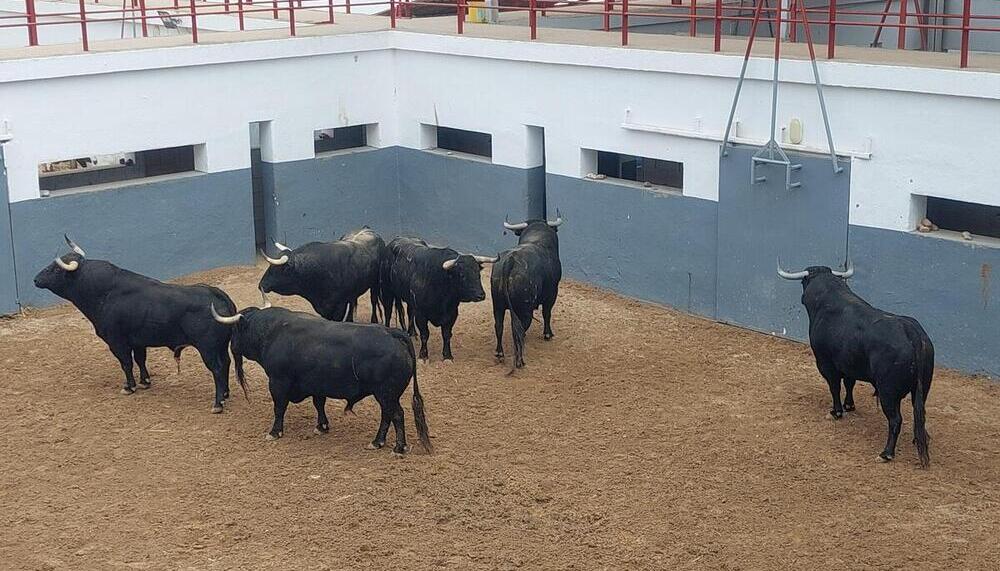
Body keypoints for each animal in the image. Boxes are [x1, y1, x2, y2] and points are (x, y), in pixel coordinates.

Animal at [35, 235, 248, 414]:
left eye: (55, 269)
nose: (36, 279)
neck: (103, 292)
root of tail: (215, 293)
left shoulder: (117, 341)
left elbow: (126, 363)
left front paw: (129, 387)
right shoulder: (137, 341)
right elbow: (140, 360)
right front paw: (145, 382)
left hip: (208, 349)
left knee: (217, 369)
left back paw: (218, 404)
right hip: (220, 346)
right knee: (226, 364)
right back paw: (226, 394)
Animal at [211, 304, 430, 456]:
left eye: (235, 330)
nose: (232, 345)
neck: (272, 332)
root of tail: (392, 332)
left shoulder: (278, 383)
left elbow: (279, 408)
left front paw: (275, 432)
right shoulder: (317, 385)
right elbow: (319, 404)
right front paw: (321, 427)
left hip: (387, 394)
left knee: (397, 415)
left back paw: (398, 448)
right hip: (385, 396)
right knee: (387, 416)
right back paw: (377, 442)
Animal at [492, 216, 564, 370]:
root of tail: (510, 261)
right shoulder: (552, 293)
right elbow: (547, 313)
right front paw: (548, 334)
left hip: (497, 306)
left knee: (499, 326)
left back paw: (500, 354)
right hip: (524, 310)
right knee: (519, 329)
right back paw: (519, 361)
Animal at [776, 266, 932, 466]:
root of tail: (911, 332)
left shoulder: (826, 363)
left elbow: (834, 387)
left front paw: (836, 412)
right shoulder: (848, 364)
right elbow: (849, 383)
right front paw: (849, 405)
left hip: (888, 392)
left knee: (895, 420)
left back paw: (886, 453)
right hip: (922, 389)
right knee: (919, 413)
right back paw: (918, 439)